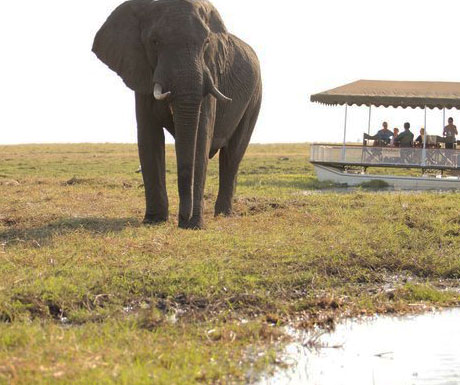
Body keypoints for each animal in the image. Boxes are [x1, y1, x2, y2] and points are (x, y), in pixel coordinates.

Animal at [92, 0, 262, 228]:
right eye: (154, 42)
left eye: (206, 43)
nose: (182, 218)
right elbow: (149, 137)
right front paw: (154, 221)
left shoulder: (210, 73)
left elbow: (201, 135)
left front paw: (194, 226)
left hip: (255, 96)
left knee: (233, 154)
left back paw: (224, 214)